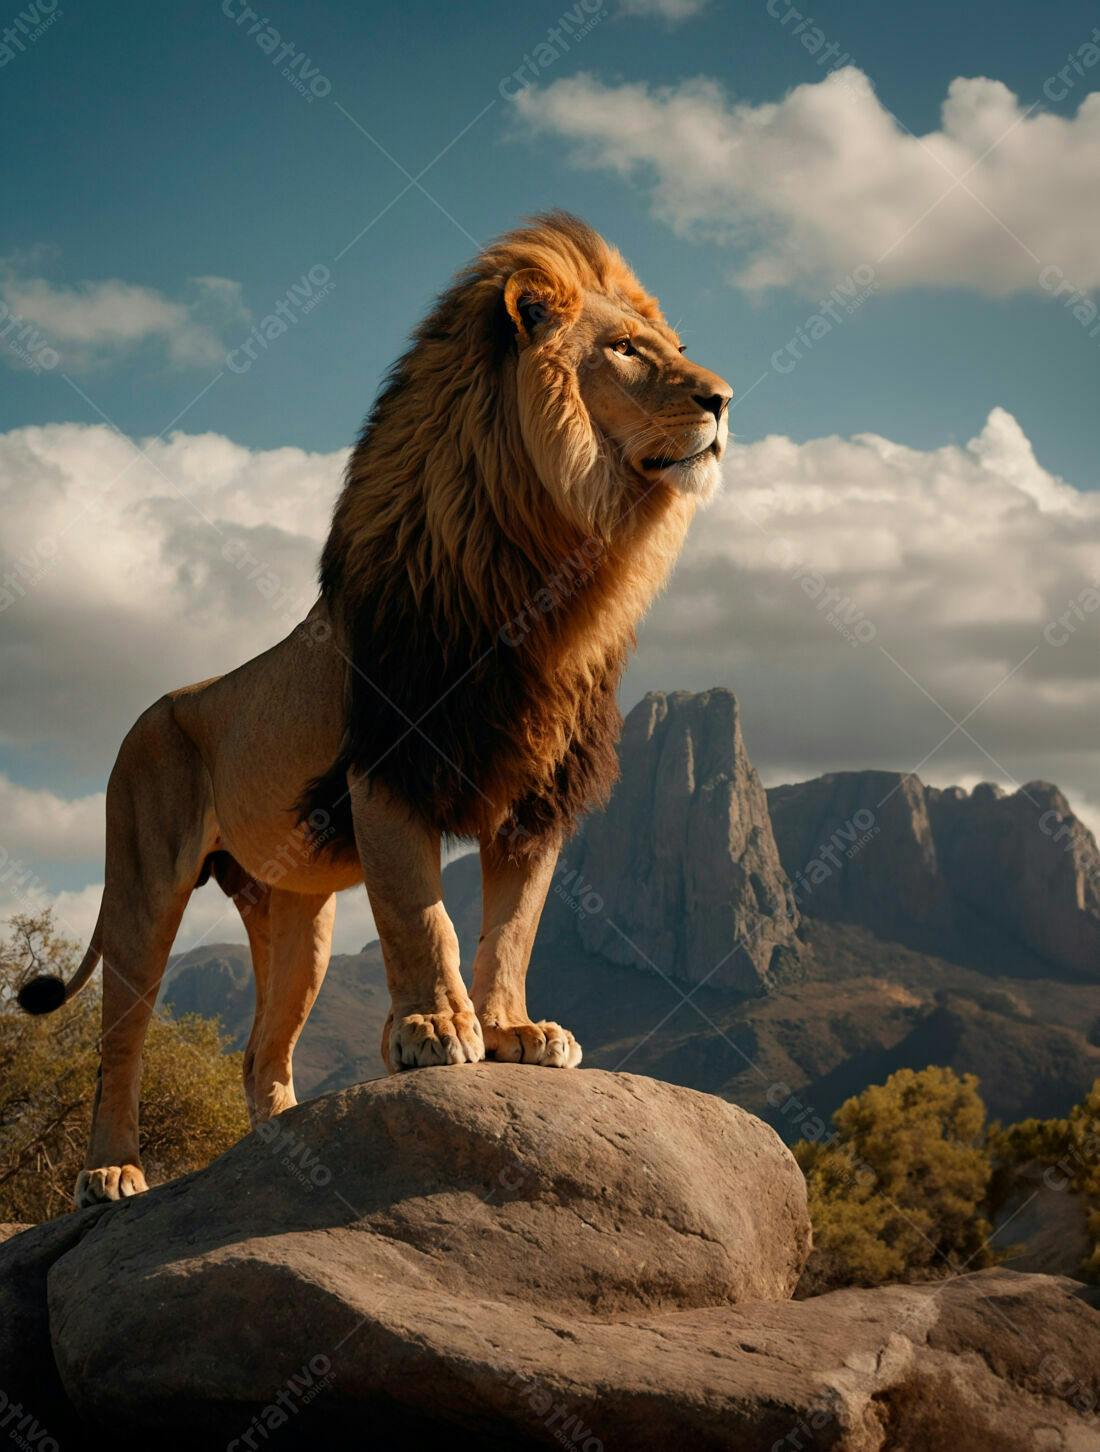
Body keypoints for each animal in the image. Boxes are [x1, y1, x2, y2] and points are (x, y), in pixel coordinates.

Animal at [19, 212, 732, 1209]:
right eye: (626, 351)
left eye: (676, 351)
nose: (724, 401)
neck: (552, 567)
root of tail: (153, 710)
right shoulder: (390, 767)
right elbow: (418, 914)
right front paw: (435, 1031)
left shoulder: (536, 799)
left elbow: (512, 929)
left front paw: (516, 1032)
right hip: (142, 884)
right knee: (118, 1041)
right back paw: (112, 1172)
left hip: (296, 916)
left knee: (260, 1050)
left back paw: (280, 1149)